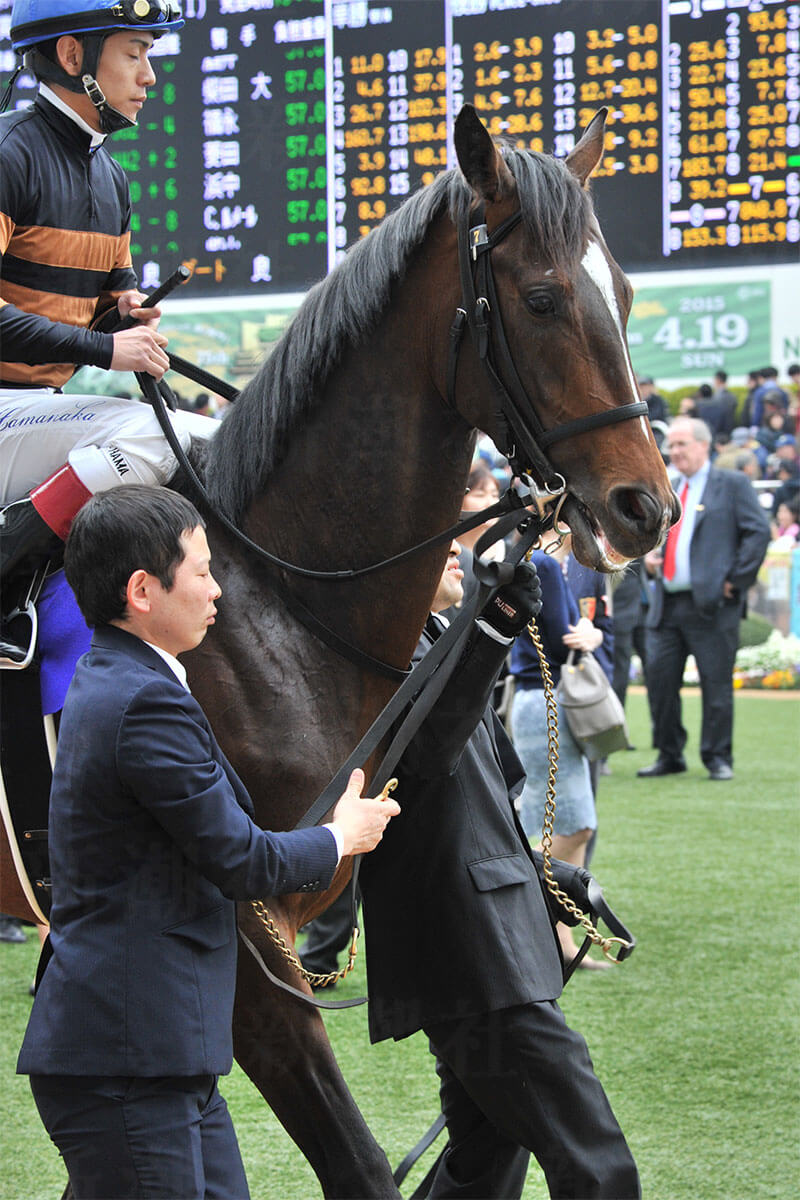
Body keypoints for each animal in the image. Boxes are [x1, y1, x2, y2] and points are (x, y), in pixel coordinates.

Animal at [171, 103, 678, 1197]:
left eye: (622, 295)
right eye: (541, 298)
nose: (645, 506)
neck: (273, 611)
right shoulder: (243, 947)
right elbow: (358, 1165)